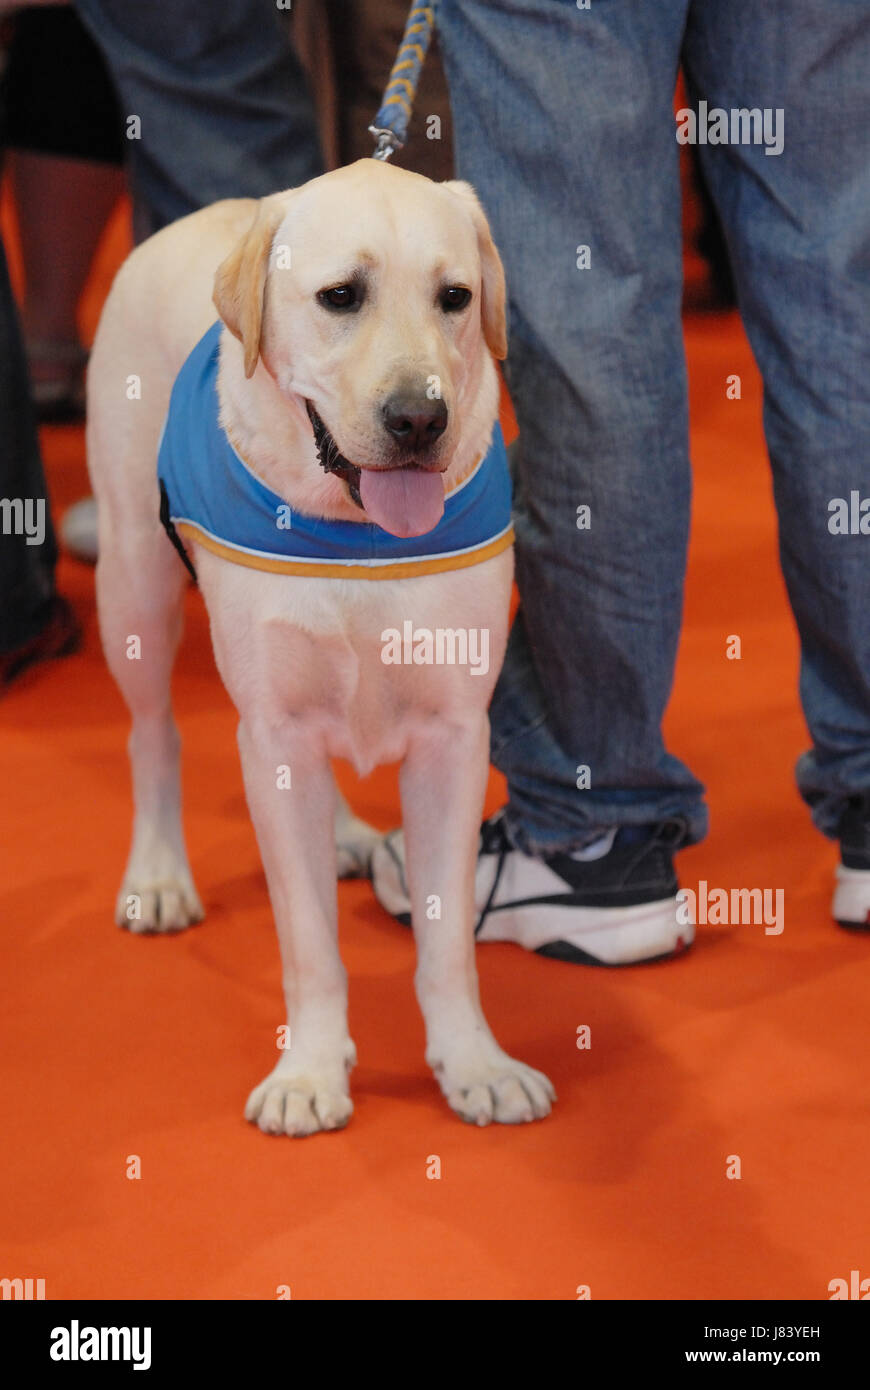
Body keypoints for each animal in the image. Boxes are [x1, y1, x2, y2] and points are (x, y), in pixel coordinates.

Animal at [86, 157, 547, 1134]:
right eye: (341, 296)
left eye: (456, 297)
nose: (419, 419)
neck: (355, 532)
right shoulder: (272, 730)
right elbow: (307, 939)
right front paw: (308, 1073)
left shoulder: (454, 739)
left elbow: (447, 937)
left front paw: (473, 1061)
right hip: (132, 584)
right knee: (153, 735)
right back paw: (159, 873)